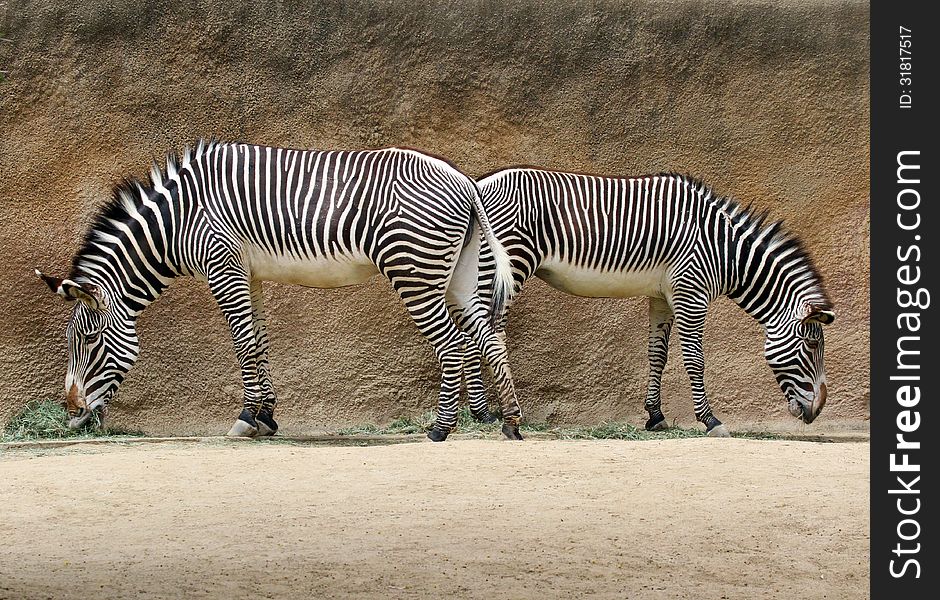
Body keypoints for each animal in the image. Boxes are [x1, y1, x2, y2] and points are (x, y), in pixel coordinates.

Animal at [33, 139, 524, 440]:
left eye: (90, 340)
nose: (71, 413)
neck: (179, 220)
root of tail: (464, 180)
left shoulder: (221, 264)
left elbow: (242, 342)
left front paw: (247, 417)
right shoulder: (249, 272)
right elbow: (259, 341)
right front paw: (266, 415)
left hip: (413, 270)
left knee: (453, 344)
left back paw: (441, 428)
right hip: (458, 275)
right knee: (489, 338)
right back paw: (509, 422)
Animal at [458, 166, 832, 434]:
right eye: (812, 345)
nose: (817, 411)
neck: (724, 250)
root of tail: (477, 185)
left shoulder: (662, 296)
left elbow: (658, 355)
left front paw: (655, 415)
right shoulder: (691, 290)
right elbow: (695, 360)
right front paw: (710, 420)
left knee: (468, 330)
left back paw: (482, 413)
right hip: (510, 263)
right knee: (485, 331)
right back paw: (496, 414)